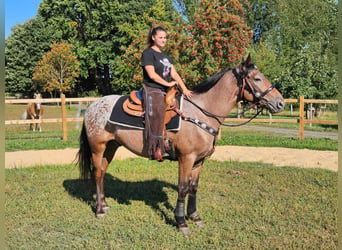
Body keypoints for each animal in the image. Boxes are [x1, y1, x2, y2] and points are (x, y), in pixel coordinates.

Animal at [77, 54, 286, 234]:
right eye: (257, 78)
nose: (281, 103)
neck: (202, 113)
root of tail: (92, 106)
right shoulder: (186, 158)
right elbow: (183, 188)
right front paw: (181, 222)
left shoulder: (199, 161)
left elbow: (193, 187)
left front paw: (195, 217)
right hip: (98, 147)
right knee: (97, 173)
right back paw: (99, 210)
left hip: (111, 147)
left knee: (102, 172)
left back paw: (104, 205)